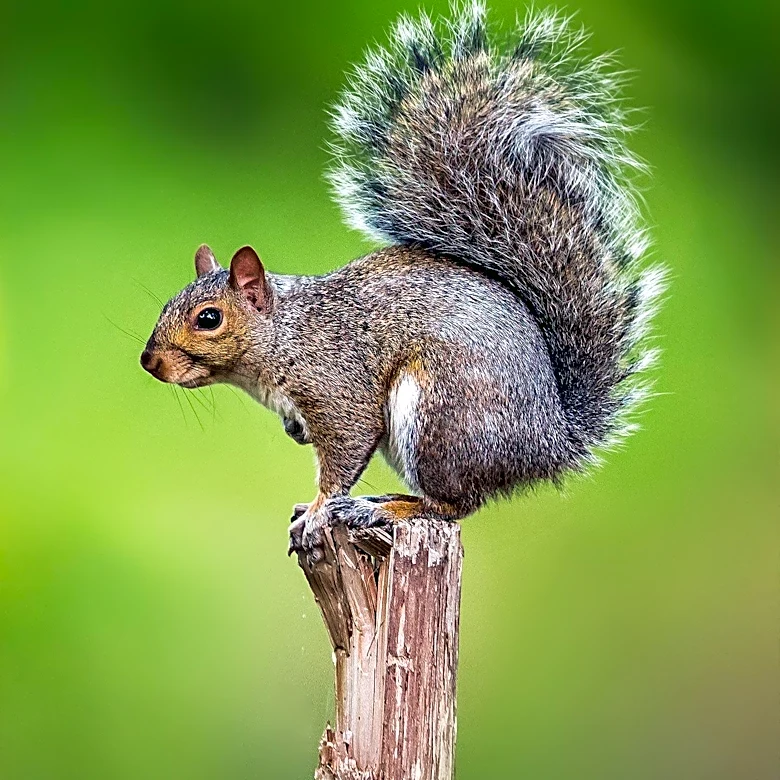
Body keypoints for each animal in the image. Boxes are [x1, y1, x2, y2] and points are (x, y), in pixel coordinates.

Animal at [140, 2, 665, 558]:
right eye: (169, 305)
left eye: (209, 319)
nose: (150, 362)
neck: (286, 334)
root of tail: (549, 445)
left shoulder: (338, 389)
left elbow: (344, 455)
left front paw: (319, 511)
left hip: (439, 420)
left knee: (453, 504)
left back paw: (381, 508)